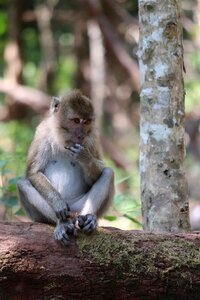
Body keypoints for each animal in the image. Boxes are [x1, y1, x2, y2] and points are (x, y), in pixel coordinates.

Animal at [17, 90, 114, 245]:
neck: (64, 138)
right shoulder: (42, 132)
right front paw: (58, 204)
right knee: (23, 184)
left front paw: (84, 157)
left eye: (86, 122)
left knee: (108, 173)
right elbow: (33, 173)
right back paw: (63, 224)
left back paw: (88, 219)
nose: (81, 135)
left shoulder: (92, 137)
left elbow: (99, 172)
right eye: (76, 120)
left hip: (79, 206)